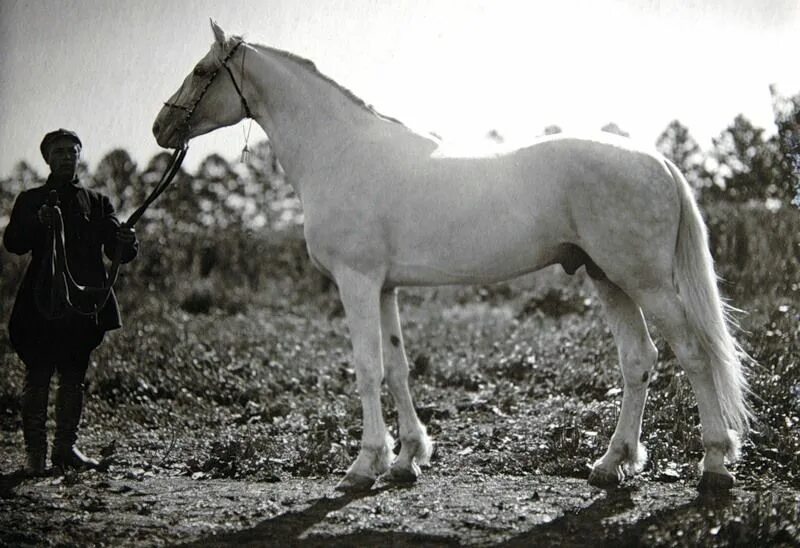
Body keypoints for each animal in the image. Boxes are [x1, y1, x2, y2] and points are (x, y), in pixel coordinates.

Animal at [153, 20, 748, 492]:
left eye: (202, 70)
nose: (161, 128)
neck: (340, 152)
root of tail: (658, 160)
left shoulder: (356, 282)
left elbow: (367, 367)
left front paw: (365, 465)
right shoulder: (384, 287)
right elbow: (397, 368)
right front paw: (408, 459)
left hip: (645, 282)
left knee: (694, 353)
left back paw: (715, 464)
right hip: (609, 279)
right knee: (639, 360)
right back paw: (611, 464)